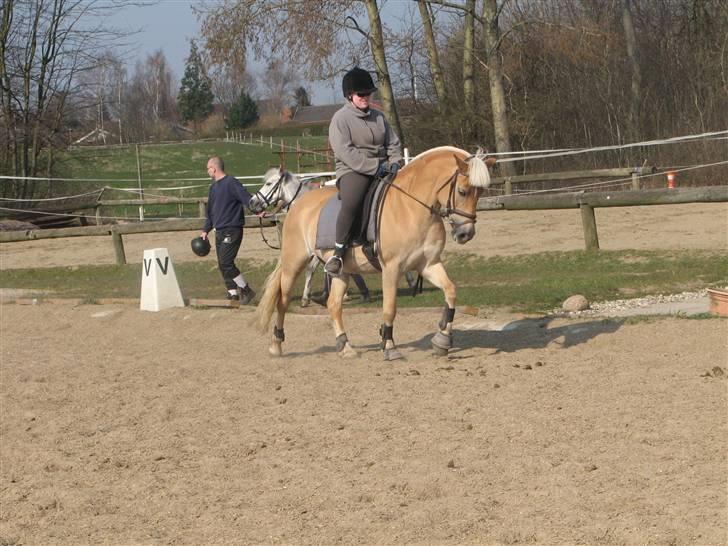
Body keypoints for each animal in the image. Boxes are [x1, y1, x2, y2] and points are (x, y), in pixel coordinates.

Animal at [253, 144, 498, 360]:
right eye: (462, 191)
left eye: (480, 192)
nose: (466, 234)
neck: (411, 207)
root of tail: (298, 205)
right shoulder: (391, 268)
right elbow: (389, 309)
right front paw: (389, 346)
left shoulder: (428, 265)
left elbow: (450, 292)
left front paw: (442, 341)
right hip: (293, 264)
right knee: (283, 302)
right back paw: (276, 345)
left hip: (342, 271)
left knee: (334, 305)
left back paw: (345, 346)